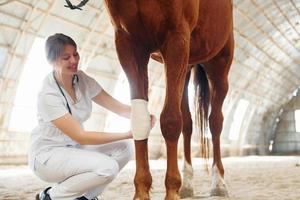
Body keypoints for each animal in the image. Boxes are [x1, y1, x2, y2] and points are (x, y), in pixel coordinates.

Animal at [66, 0, 234, 199]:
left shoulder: (176, 36)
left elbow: (170, 121)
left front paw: (171, 190)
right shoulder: (129, 43)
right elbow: (140, 120)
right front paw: (142, 191)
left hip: (219, 64)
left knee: (215, 122)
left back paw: (219, 183)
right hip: (186, 67)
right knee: (187, 123)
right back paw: (187, 185)